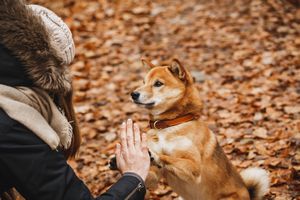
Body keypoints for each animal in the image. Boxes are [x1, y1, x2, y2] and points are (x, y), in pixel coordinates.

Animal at [131, 59, 270, 200]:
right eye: (143, 82)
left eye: (158, 83)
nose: (133, 94)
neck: (169, 125)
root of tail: (248, 194)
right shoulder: (154, 177)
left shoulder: (194, 168)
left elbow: (169, 158)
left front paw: (154, 155)